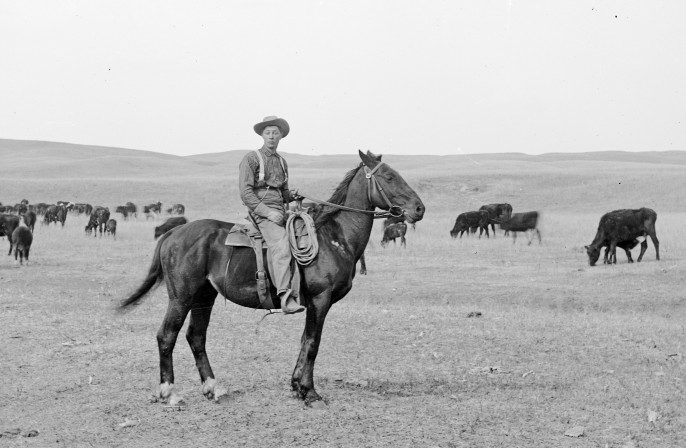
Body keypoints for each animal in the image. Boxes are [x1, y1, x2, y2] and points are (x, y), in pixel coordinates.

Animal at [121, 151, 428, 406]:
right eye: (389, 176)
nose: (419, 209)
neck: (334, 237)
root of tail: (172, 234)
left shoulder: (312, 303)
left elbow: (304, 341)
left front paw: (297, 386)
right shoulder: (321, 299)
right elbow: (313, 343)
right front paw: (310, 393)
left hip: (204, 296)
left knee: (196, 336)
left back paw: (212, 388)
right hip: (181, 297)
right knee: (166, 335)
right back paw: (168, 392)